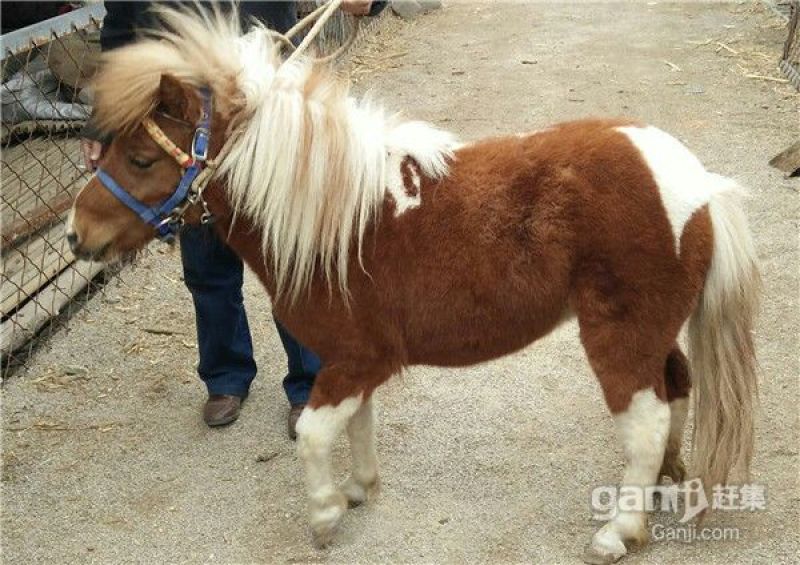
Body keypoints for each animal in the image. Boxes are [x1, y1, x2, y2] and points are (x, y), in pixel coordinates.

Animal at [66, 8, 760, 563]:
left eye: (142, 160)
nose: (76, 235)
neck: (334, 220)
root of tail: (699, 183)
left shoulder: (355, 359)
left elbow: (313, 434)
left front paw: (324, 515)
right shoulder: (353, 363)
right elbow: (357, 425)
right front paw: (358, 489)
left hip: (620, 335)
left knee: (643, 419)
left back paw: (620, 530)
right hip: (653, 331)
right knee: (676, 387)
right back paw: (665, 479)